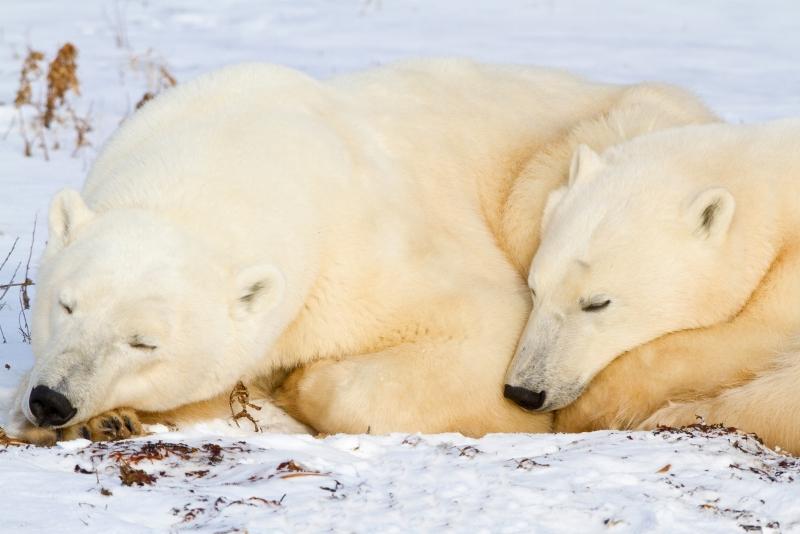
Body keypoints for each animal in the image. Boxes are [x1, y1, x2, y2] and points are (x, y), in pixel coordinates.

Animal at [4, 59, 720, 444]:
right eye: (65, 306)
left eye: (143, 341)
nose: (53, 401)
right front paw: (87, 419)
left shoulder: (368, 256)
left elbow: (483, 335)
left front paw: (299, 389)